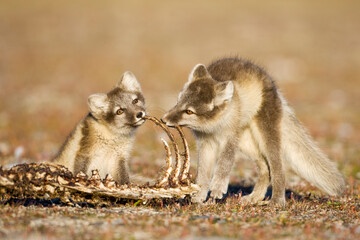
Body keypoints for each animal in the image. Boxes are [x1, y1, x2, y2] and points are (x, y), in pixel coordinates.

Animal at [162, 57, 344, 205]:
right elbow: (203, 172)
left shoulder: (231, 139)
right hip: (247, 143)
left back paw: (276, 202)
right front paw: (199, 195)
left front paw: (217, 188)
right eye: (178, 101)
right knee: (265, 170)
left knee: (278, 169)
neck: (214, 127)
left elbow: (224, 164)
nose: (164, 119)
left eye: (189, 111)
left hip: (264, 137)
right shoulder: (206, 143)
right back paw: (254, 198)